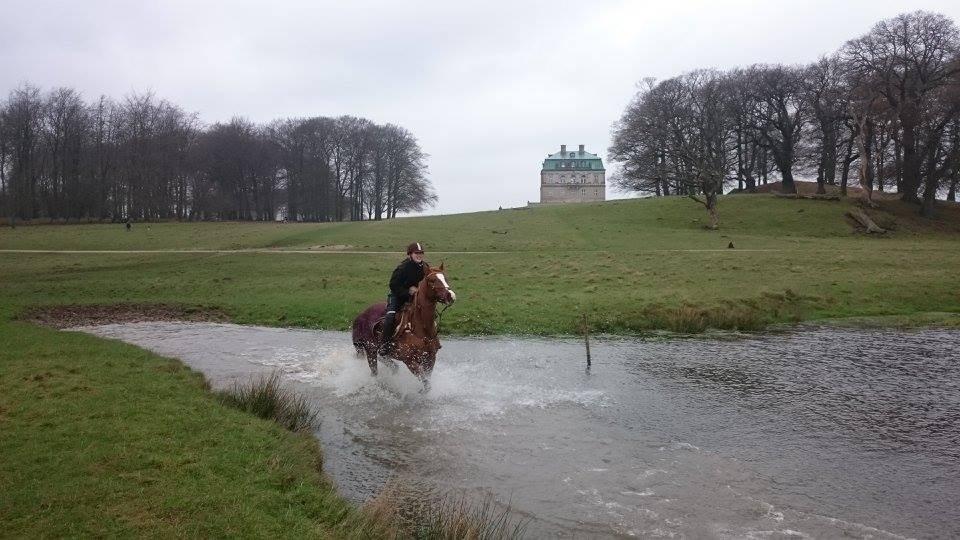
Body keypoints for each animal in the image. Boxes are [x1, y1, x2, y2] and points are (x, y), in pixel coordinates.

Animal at [352, 262, 458, 392]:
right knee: (374, 373)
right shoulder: (410, 361)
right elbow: (426, 383)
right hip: (370, 351)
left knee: (393, 367)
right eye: (432, 280)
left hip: (381, 354)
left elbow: (427, 382)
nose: (450, 296)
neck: (421, 329)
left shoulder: (430, 359)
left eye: (445, 278)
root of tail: (360, 316)